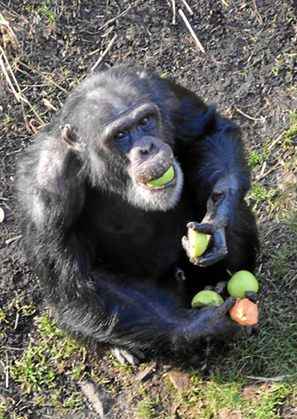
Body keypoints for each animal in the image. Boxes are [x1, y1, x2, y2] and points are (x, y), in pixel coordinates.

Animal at [16, 65, 256, 364]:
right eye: (120, 135)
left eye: (145, 121)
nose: (147, 147)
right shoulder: (44, 199)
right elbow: (79, 287)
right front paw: (202, 327)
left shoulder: (168, 96)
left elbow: (208, 130)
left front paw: (219, 217)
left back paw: (219, 279)